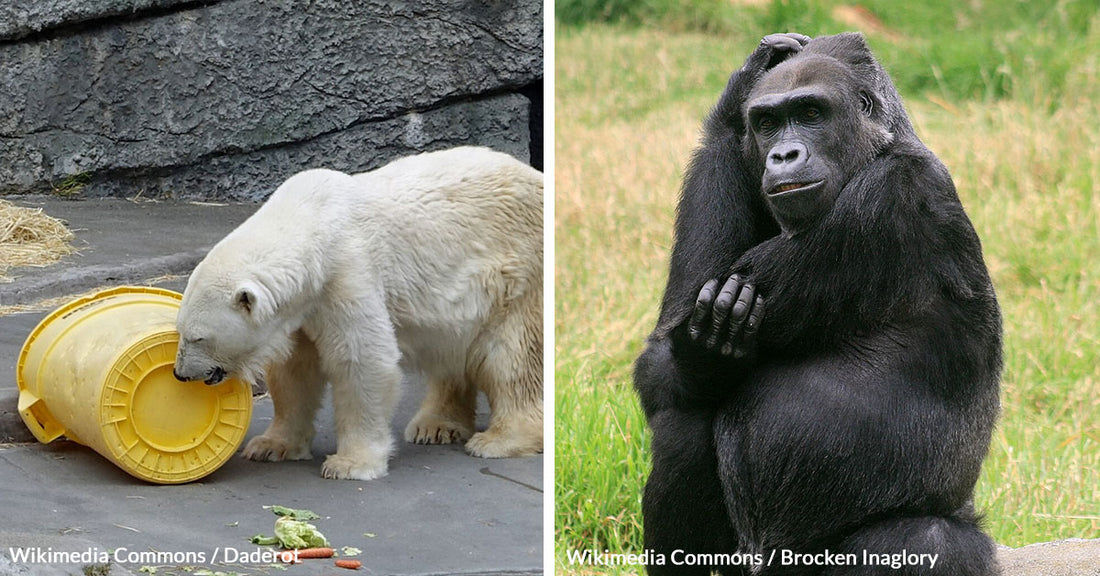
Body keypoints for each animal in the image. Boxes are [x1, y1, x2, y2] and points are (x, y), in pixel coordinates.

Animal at [172, 146, 545, 479]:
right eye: (180, 332)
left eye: (198, 336)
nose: (179, 373)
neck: (312, 221)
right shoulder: (303, 308)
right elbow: (294, 370)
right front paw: (270, 446)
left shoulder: (346, 273)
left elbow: (360, 360)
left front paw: (350, 464)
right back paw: (435, 426)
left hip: (517, 275)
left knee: (512, 358)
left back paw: (501, 439)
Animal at [633, 32, 1003, 576]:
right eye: (767, 123)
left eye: (810, 113)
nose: (783, 155)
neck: (879, 147)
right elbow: (661, 356)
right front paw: (734, 101)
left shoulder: (888, 199)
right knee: (683, 421)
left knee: (931, 539)